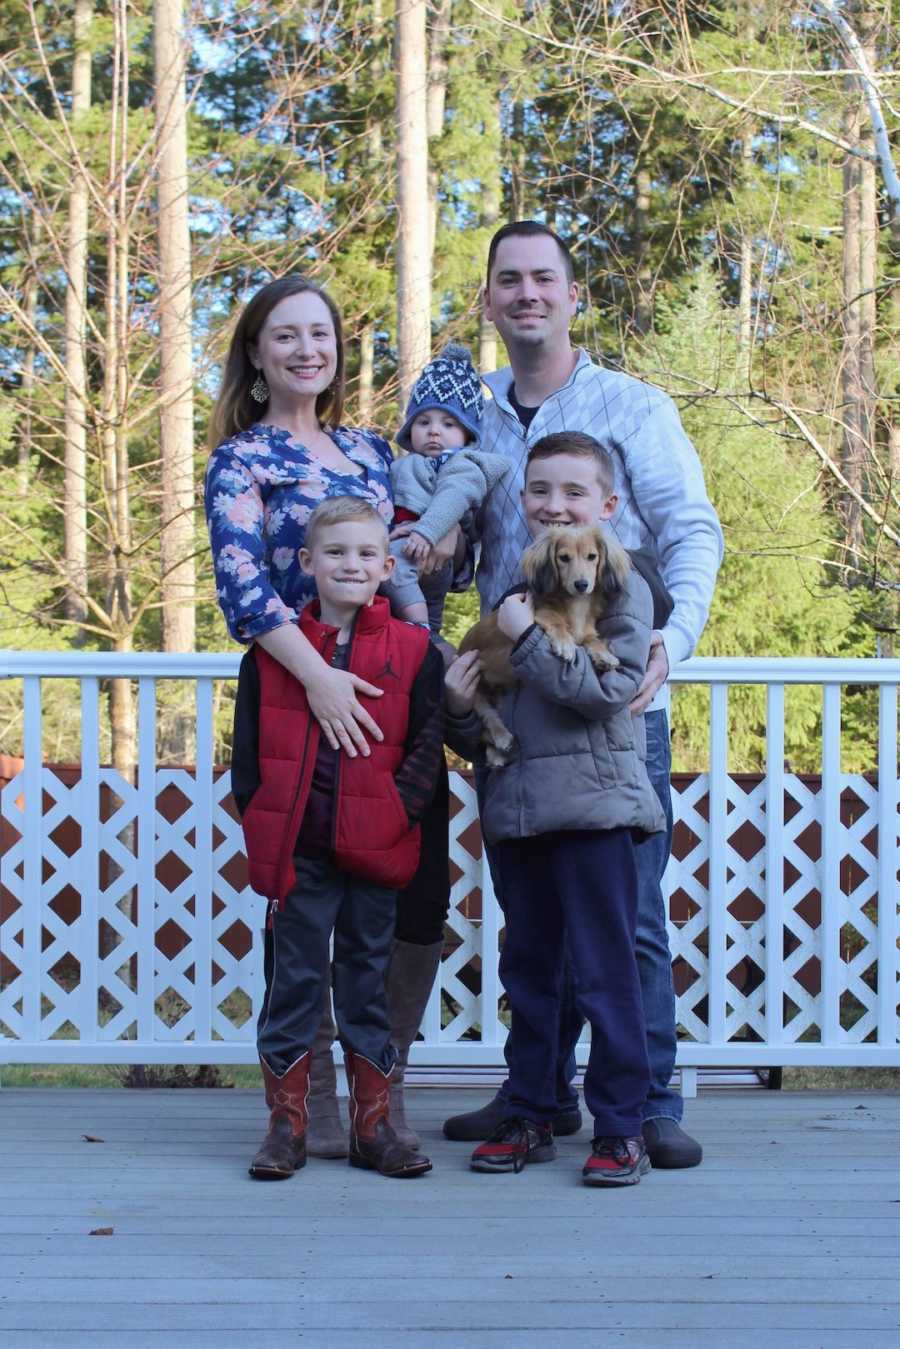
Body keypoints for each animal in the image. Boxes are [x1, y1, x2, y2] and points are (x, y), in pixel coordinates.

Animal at [461, 523, 631, 766]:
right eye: (564, 558)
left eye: (592, 557)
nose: (581, 585)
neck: (576, 605)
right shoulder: (538, 613)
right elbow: (555, 620)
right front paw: (565, 644)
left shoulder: (587, 631)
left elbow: (592, 639)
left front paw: (603, 655)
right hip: (475, 690)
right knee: (488, 717)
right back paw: (502, 738)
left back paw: (497, 752)